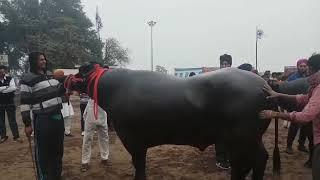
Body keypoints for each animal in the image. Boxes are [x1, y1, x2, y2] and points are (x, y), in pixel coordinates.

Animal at [67, 64, 272, 180]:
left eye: (79, 71)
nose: (66, 78)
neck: (114, 88)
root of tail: (264, 86)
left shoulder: (134, 141)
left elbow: (139, 167)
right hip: (246, 140)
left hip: (242, 139)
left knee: (251, 162)